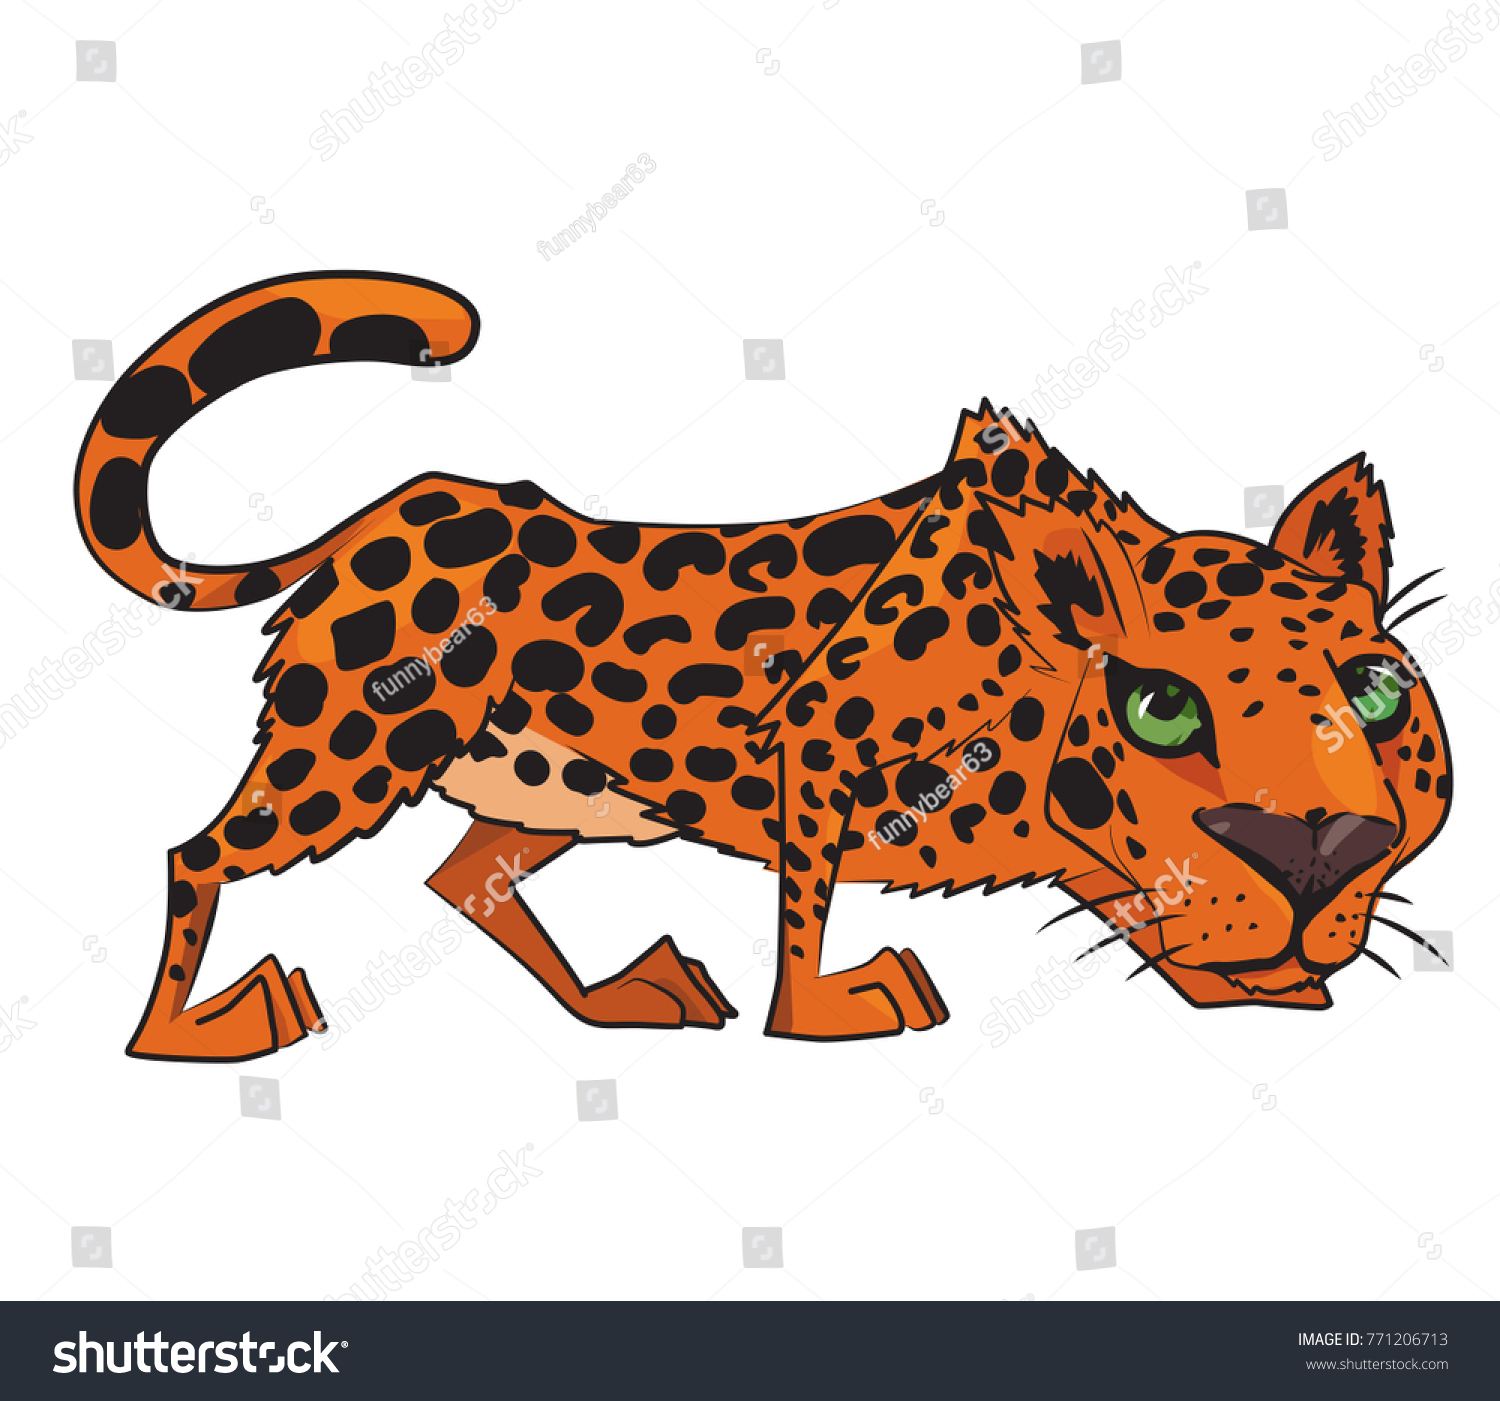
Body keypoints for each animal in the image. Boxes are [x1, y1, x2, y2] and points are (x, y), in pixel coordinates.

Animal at [72, 271, 1453, 1061]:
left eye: (1379, 695)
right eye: (1162, 708)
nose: (1319, 854)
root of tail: (391, 509)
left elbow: (1148, 900)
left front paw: (1243, 972)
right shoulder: (820, 747)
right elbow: (809, 905)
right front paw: (824, 1013)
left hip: (564, 794)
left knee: (465, 879)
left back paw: (621, 998)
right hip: (350, 752)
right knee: (198, 854)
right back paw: (185, 1035)